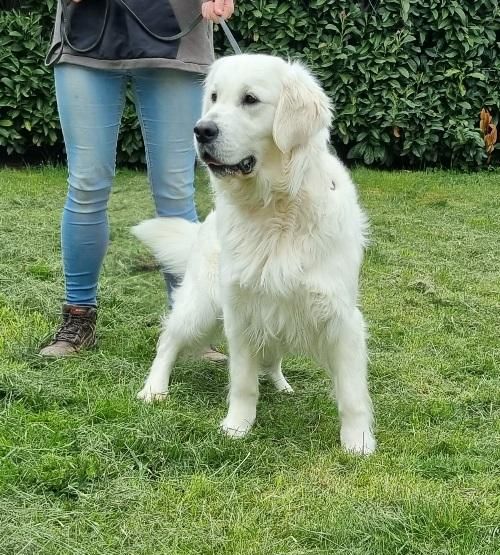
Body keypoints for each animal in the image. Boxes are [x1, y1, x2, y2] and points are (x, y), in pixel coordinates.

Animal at [133, 54, 376, 454]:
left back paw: (282, 385)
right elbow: (243, 383)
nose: (201, 130)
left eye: (250, 99)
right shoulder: (241, 310)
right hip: (201, 306)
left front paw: (357, 443)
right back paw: (154, 389)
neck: (275, 208)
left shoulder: (340, 316)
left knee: (271, 358)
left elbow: (353, 394)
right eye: (214, 97)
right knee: (167, 341)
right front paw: (237, 427)